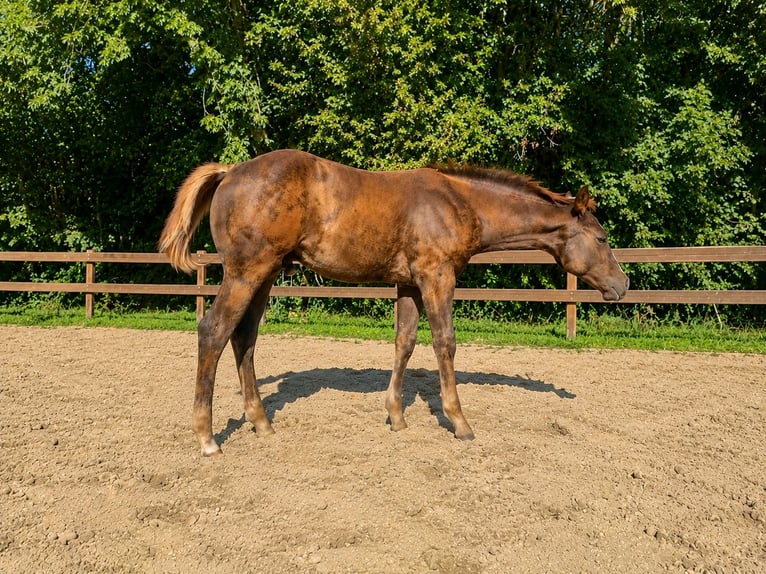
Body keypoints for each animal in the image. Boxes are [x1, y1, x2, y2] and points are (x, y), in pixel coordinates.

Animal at [159, 149, 629, 456]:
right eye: (602, 238)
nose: (622, 285)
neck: (458, 203)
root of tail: (231, 172)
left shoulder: (408, 284)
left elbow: (404, 343)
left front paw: (397, 417)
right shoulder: (437, 277)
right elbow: (444, 342)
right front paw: (460, 423)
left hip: (267, 274)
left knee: (245, 338)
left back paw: (261, 422)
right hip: (246, 272)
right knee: (214, 332)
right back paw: (207, 438)